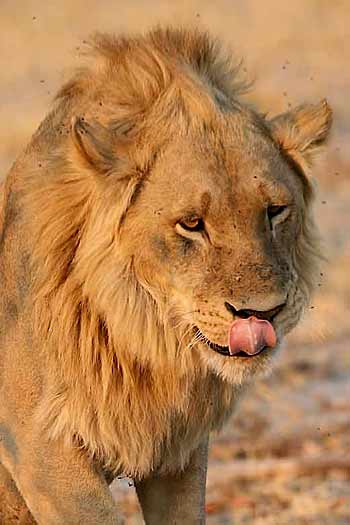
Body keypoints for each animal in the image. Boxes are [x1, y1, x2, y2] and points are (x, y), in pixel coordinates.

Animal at [0, 26, 330, 520]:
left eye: (274, 211)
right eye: (192, 223)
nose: (263, 314)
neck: (143, 342)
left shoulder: (179, 450)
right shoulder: (39, 448)